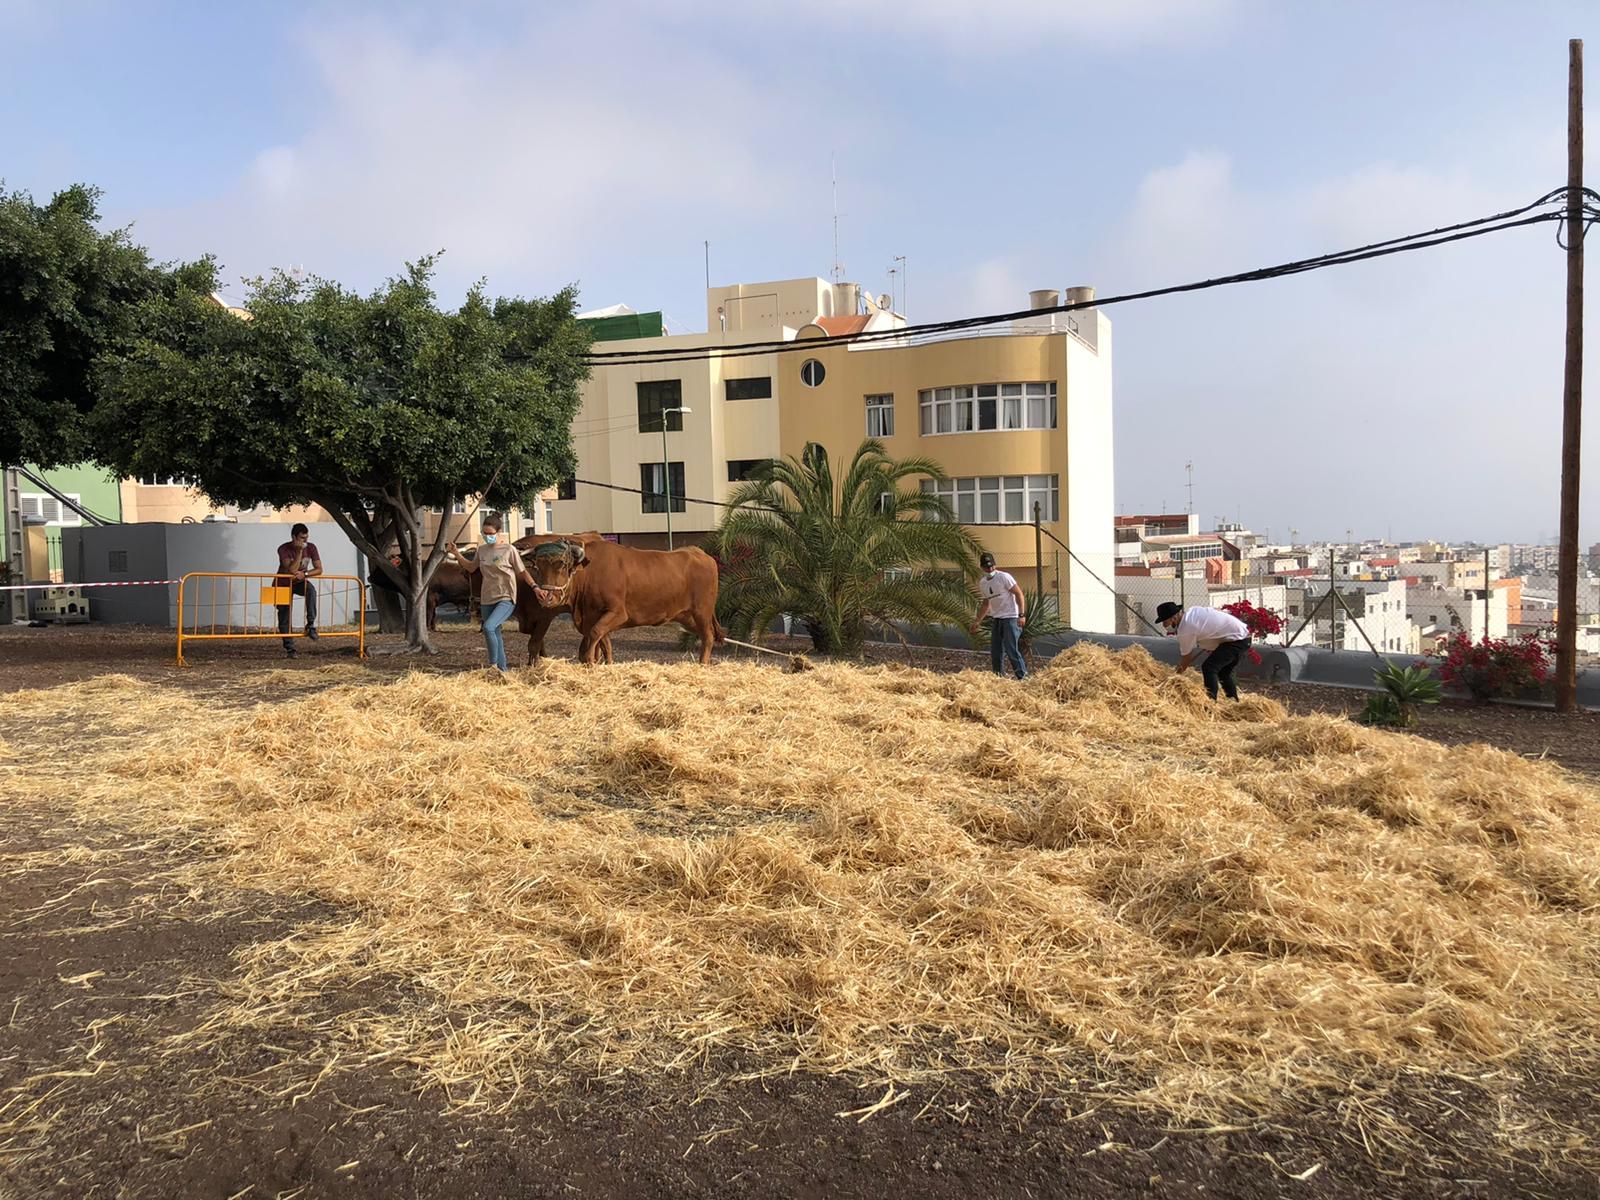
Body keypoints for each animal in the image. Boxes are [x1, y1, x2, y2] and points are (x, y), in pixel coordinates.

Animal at [524, 537, 726, 668]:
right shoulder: (594, 617)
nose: (546, 597)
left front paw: (590, 660)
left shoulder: (617, 613)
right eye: (537, 567)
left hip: (701, 612)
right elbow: (603, 641)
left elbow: (595, 635)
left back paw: (703, 664)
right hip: (686, 616)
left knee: (707, 636)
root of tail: (700, 553)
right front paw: (605, 663)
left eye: (563, 565)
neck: (589, 573)